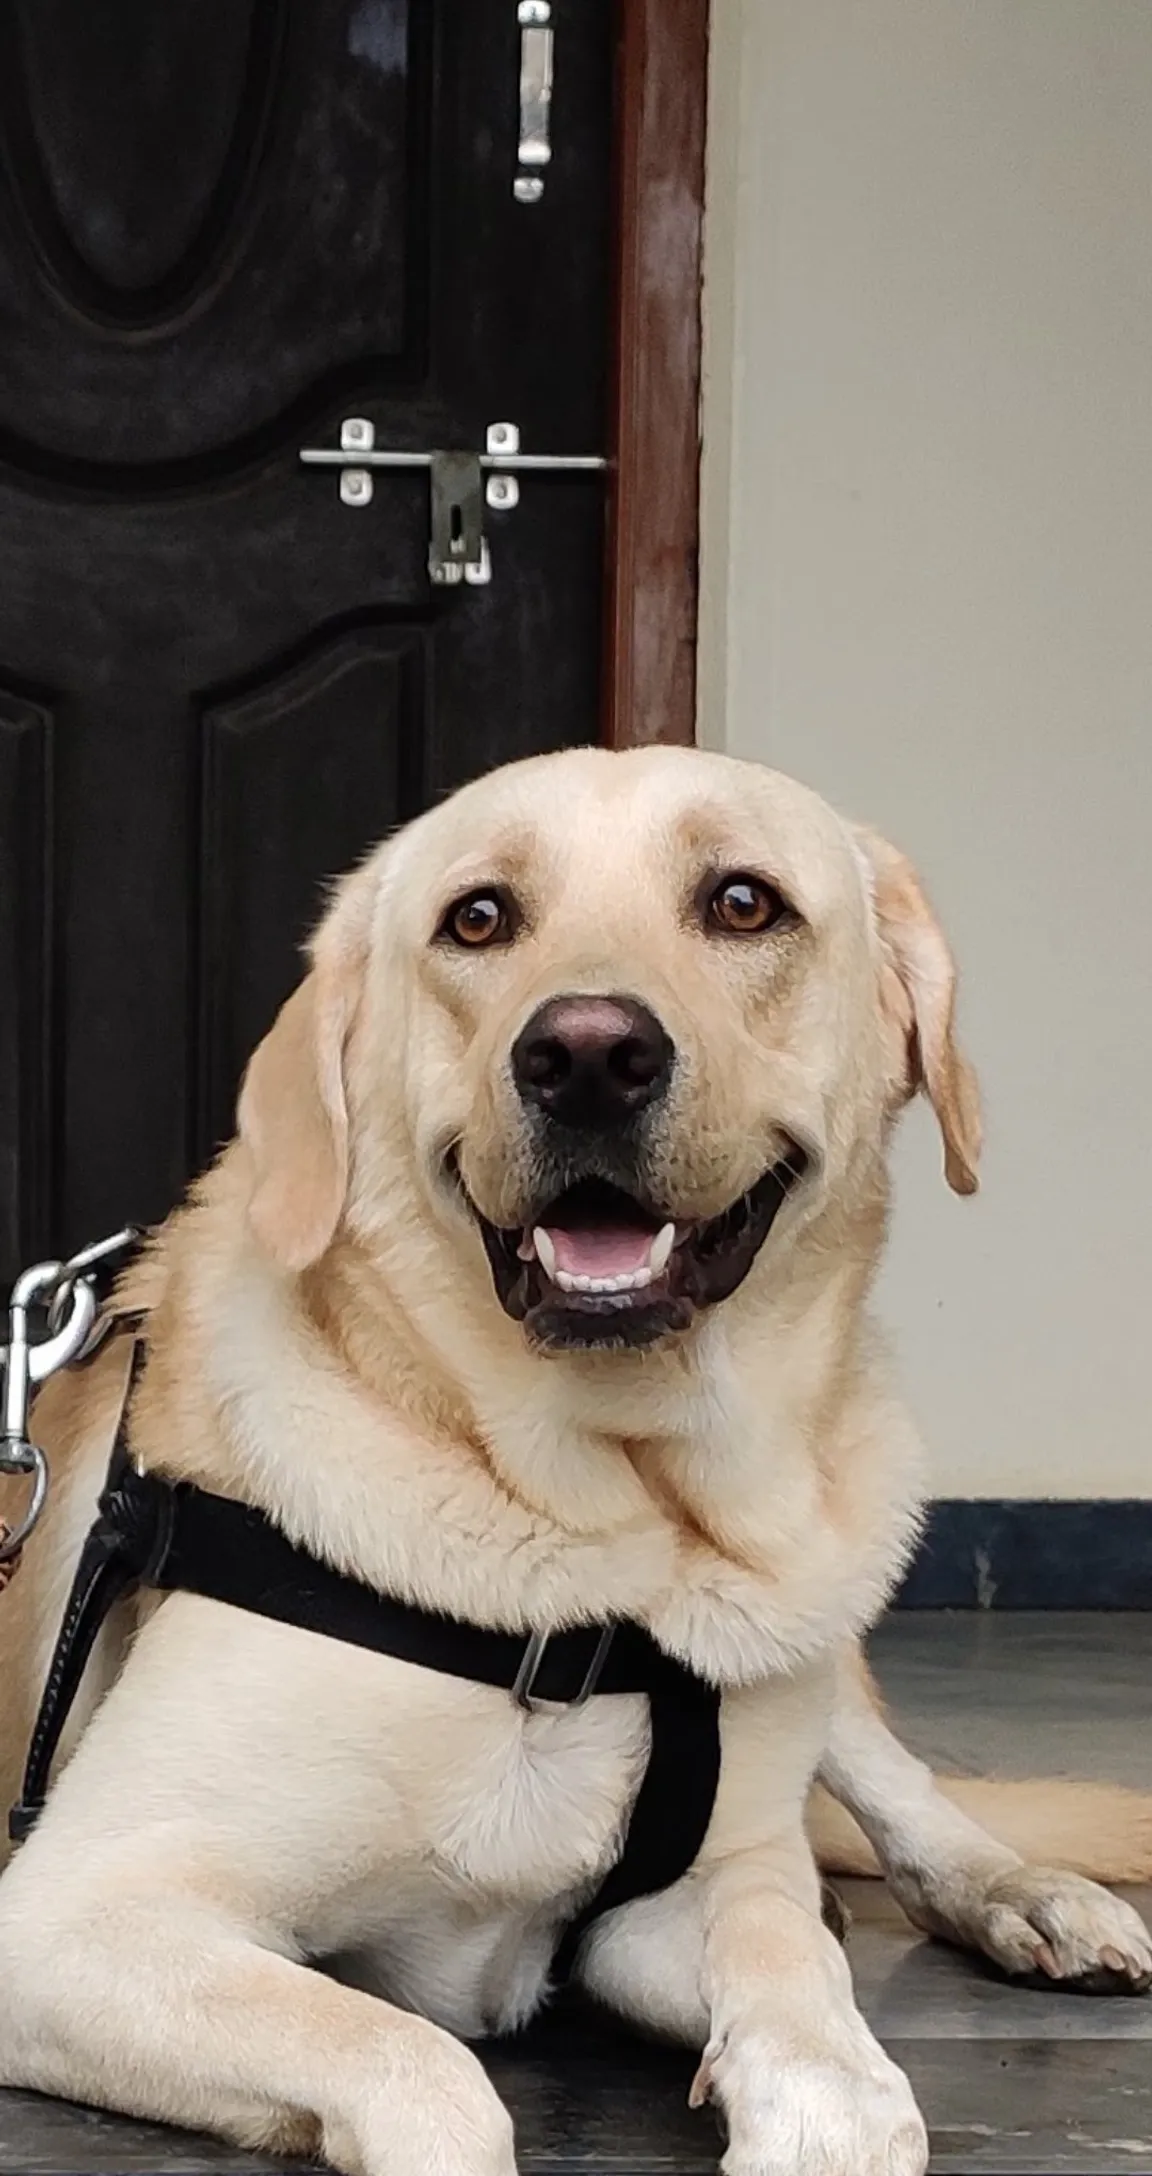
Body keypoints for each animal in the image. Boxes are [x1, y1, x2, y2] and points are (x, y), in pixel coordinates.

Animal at [2, 752, 1149, 2176]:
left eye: (744, 902)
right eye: (478, 918)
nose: (589, 1056)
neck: (607, 1545)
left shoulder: (678, 1896)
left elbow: (782, 1941)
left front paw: (828, 2090)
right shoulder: (76, 1912)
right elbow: (420, 2062)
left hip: (818, 1630)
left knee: (899, 1797)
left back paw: (1028, 1894)